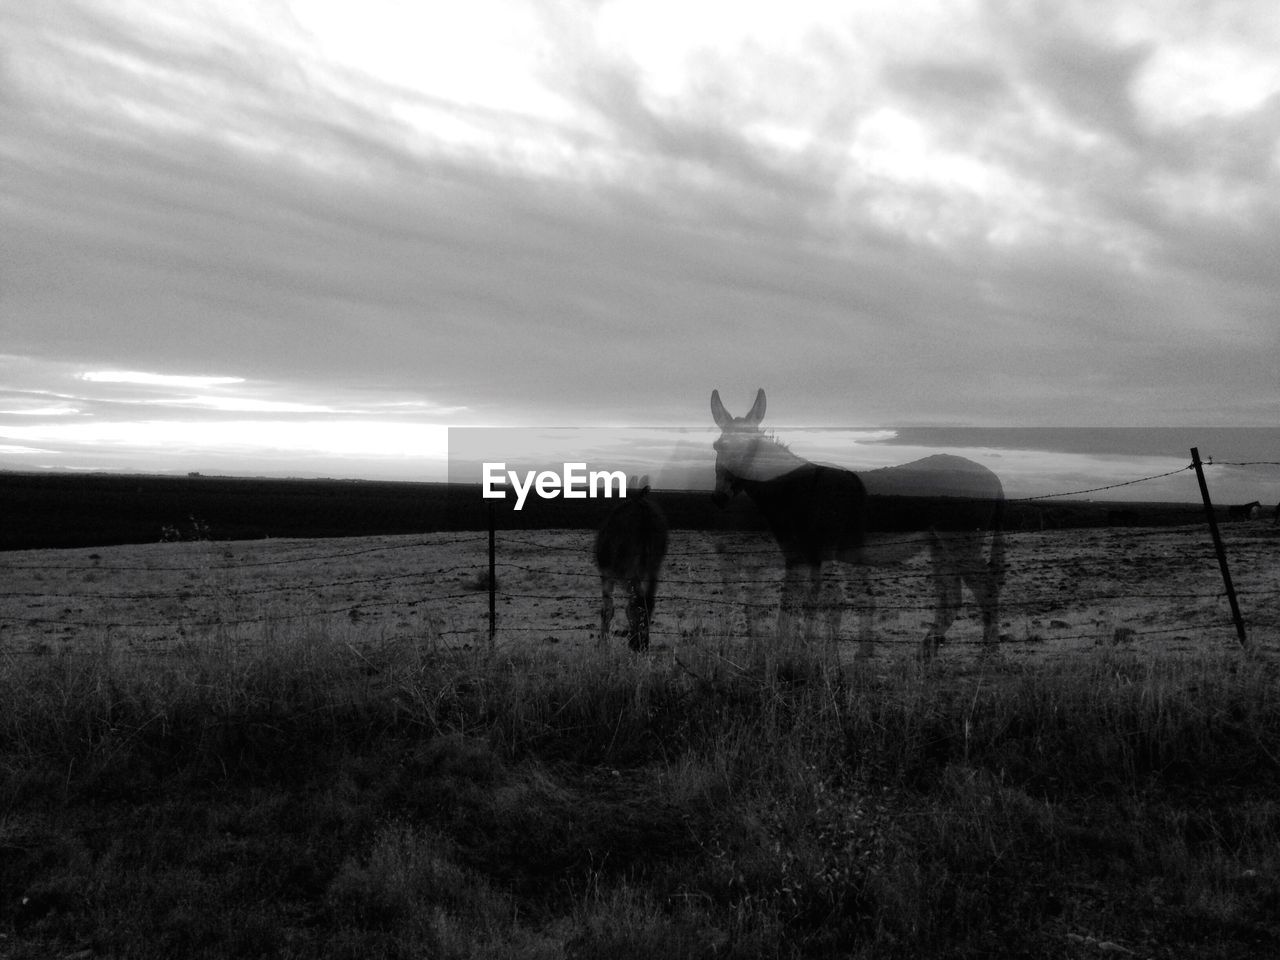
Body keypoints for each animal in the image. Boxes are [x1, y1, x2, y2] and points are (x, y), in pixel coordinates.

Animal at [591, 481, 670, 655]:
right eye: (639, 614)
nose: (642, 646)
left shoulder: (607, 573)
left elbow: (607, 609)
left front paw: (603, 643)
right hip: (653, 564)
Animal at [716, 391, 1003, 660]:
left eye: (747, 447)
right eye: (717, 446)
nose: (721, 496)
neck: (797, 487)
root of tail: (993, 476)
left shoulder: (818, 554)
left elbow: (821, 601)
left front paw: (816, 655)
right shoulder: (798, 556)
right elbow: (791, 601)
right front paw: (786, 653)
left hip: (961, 543)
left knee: (986, 588)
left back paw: (987, 655)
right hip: (939, 545)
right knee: (952, 597)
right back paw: (925, 652)